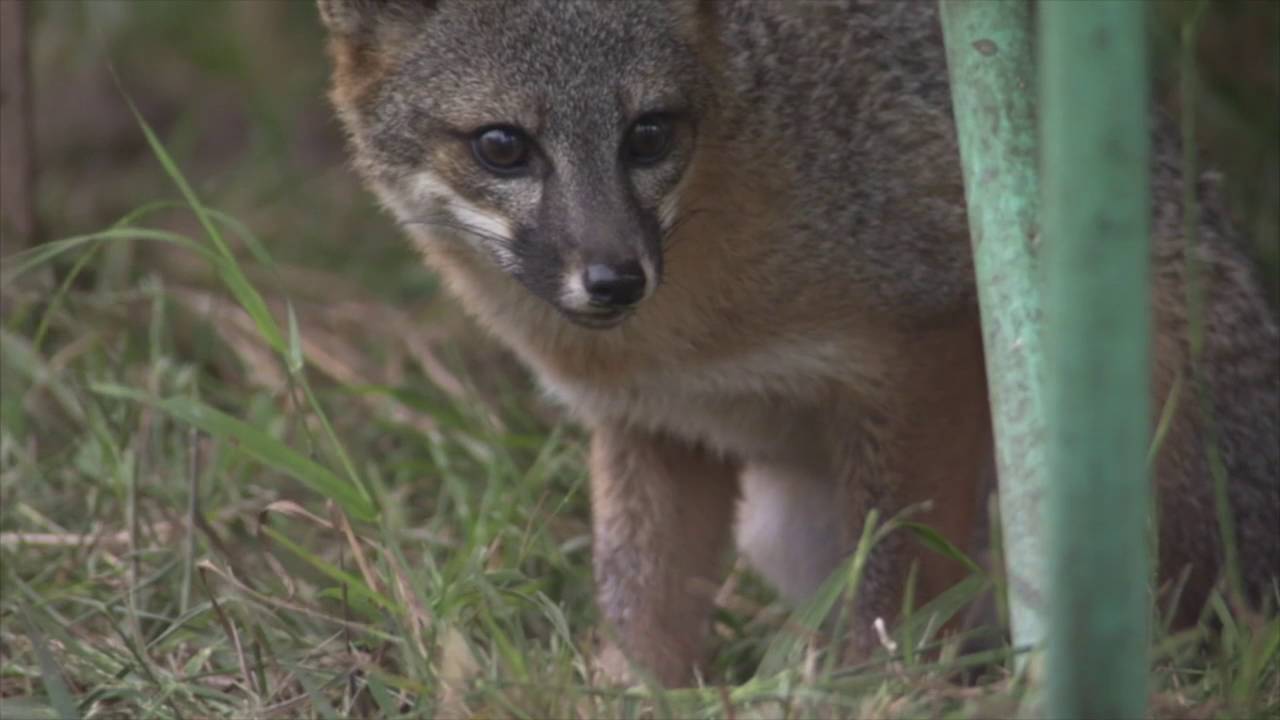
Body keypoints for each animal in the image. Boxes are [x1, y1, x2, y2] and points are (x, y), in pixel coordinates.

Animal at [317, 0, 1280, 686]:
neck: (679, 340)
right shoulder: (654, 425)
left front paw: (872, 690)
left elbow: (898, 572)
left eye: (649, 134)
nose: (615, 277)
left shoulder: (935, 336)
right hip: (780, 528)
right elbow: (640, 599)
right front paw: (632, 693)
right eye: (503, 147)